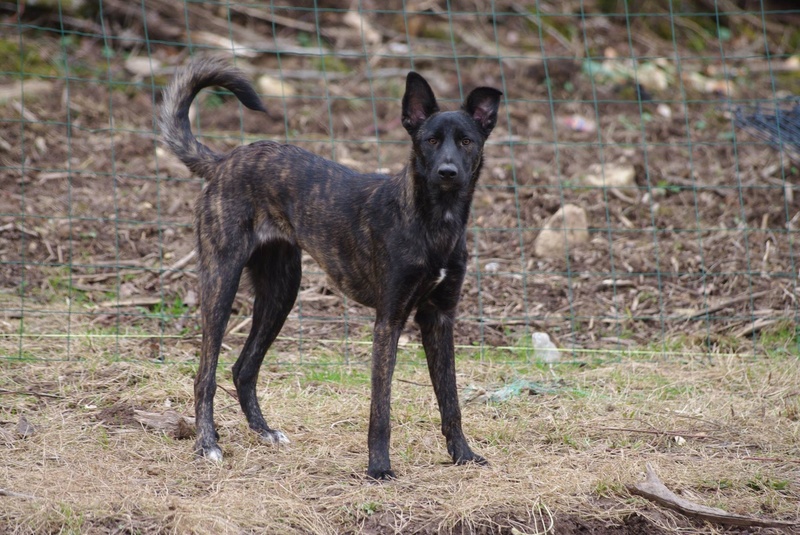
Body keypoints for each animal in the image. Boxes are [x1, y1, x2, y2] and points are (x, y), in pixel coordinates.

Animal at [158, 59, 500, 482]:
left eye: (466, 141)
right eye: (431, 141)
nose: (448, 172)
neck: (435, 222)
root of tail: (225, 162)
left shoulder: (439, 318)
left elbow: (451, 400)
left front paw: (463, 455)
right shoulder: (388, 321)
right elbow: (380, 409)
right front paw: (379, 468)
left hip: (281, 292)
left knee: (242, 368)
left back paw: (264, 431)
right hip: (221, 281)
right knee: (204, 375)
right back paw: (207, 444)